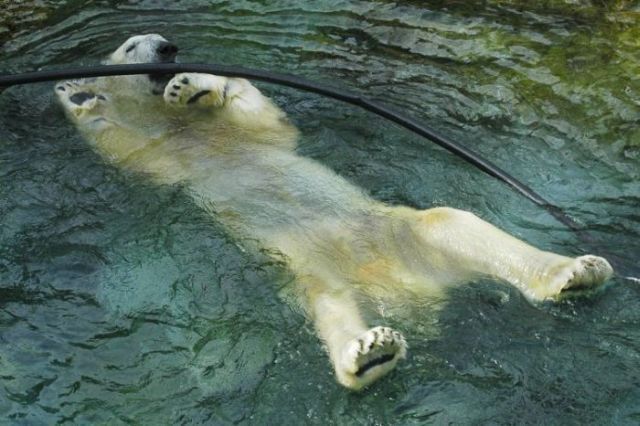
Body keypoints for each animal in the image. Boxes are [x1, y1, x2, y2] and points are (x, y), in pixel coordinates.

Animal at [55, 34, 614, 390]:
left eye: (164, 42)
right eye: (132, 47)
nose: (169, 50)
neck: (180, 130)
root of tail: (409, 294)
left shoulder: (231, 134)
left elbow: (269, 123)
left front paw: (195, 84)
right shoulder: (156, 158)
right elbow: (127, 146)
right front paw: (77, 95)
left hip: (402, 233)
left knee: (450, 222)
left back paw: (573, 272)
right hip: (309, 272)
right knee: (330, 304)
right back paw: (369, 352)